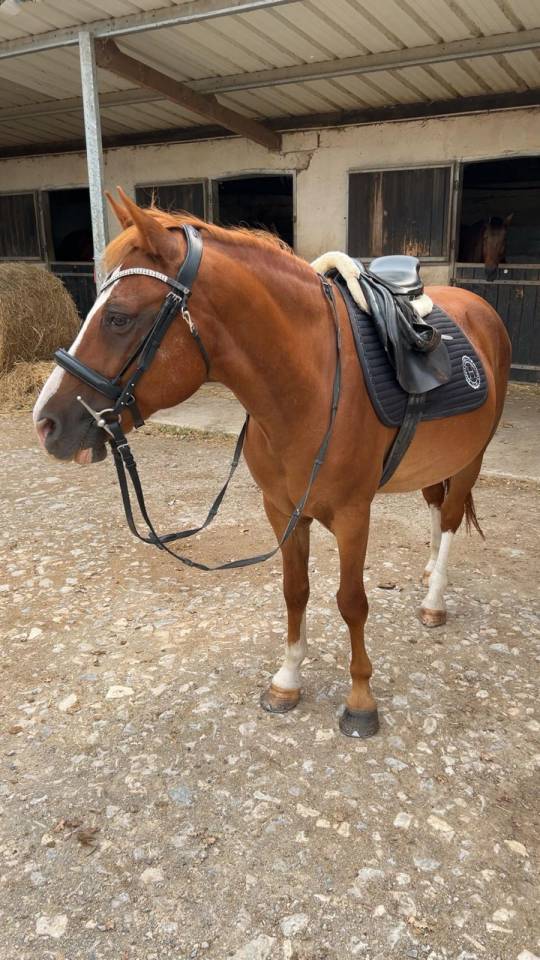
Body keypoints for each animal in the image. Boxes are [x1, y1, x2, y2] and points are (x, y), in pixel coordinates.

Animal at [33, 188, 511, 738]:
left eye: (119, 317)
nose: (45, 422)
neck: (310, 384)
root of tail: (480, 308)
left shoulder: (353, 516)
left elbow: (351, 602)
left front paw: (361, 699)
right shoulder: (283, 511)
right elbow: (294, 591)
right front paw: (287, 680)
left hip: (472, 458)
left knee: (451, 517)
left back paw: (434, 600)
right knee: (436, 505)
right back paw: (432, 572)